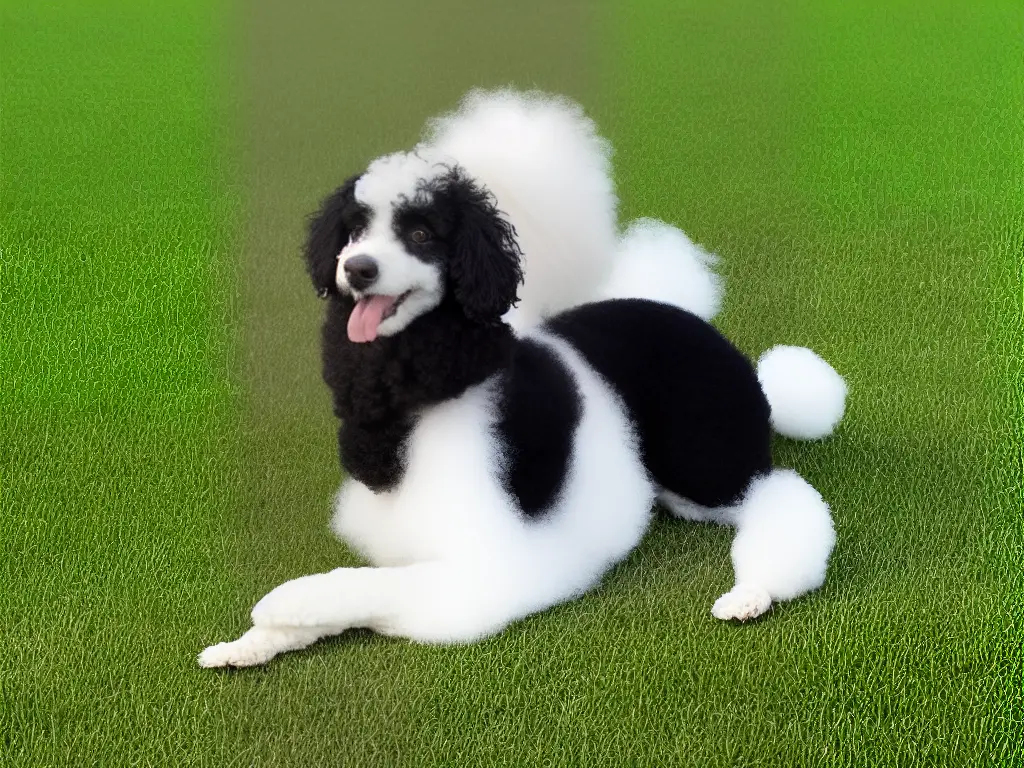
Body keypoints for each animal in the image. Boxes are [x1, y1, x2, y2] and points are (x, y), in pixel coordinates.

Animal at [195, 151, 843, 667]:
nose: (356, 269)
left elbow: (361, 585)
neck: (429, 394)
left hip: (702, 462)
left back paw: (756, 589)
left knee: (784, 497)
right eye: (353, 231)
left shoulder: (482, 575)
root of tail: (734, 354)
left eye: (423, 233)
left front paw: (282, 603)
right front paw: (248, 646)